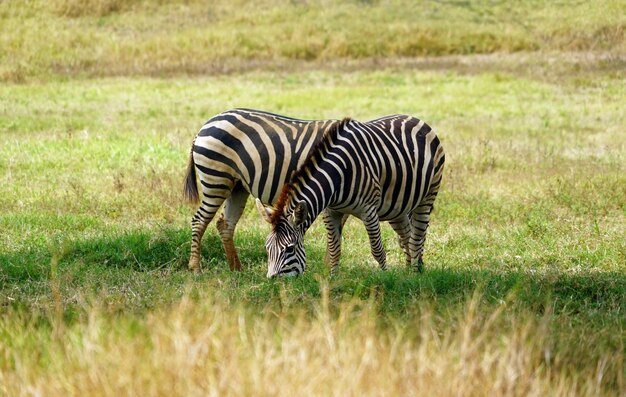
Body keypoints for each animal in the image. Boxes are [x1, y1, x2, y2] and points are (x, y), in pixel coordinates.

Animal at [180, 106, 348, 270]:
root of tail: (206, 124)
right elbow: (333, 236)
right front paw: (328, 270)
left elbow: (337, 234)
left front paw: (328, 267)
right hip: (216, 180)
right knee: (199, 220)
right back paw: (195, 268)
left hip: (237, 187)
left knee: (225, 224)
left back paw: (236, 269)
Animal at [255, 113, 444, 276]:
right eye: (267, 247)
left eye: (289, 248)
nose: (273, 281)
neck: (337, 177)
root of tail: (415, 118)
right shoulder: (330, 211)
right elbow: (334, 249)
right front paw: (333, 279)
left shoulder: (368, 210)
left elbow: (377, 250)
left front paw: (385, 278)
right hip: (398, 206)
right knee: (406, 236)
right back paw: (407, 273)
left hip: (428, 195)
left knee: (417, 238)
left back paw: (415, 274)